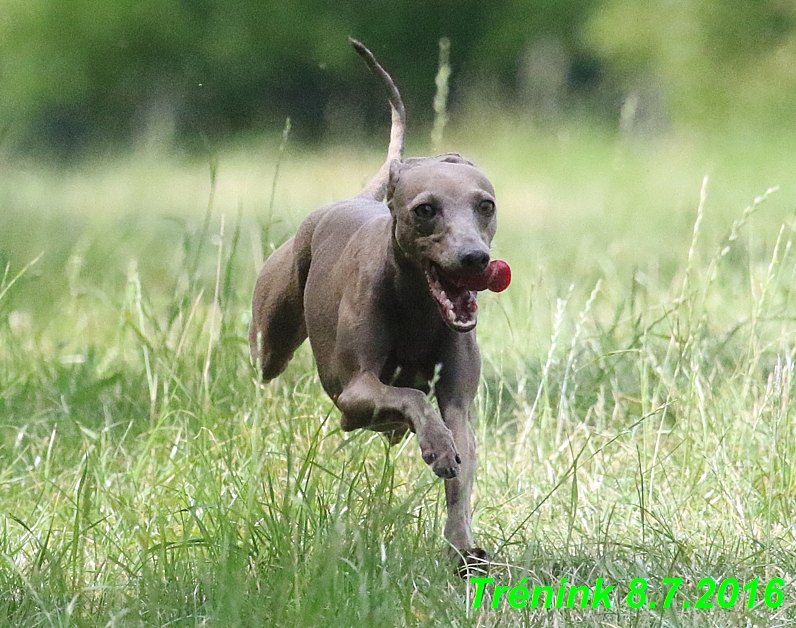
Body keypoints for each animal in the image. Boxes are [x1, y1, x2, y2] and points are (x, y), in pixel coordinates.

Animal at [250, 38, 498, 568]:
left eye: (485, 205)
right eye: (425, 210)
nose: (475, 259)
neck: (418, 307)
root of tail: (358, 194)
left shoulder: (459, 403)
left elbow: (460, 463)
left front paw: (462, 544)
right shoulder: (353, 393)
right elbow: (409, 396)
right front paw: (435, 446)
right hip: (272, 340)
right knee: (268, 359)